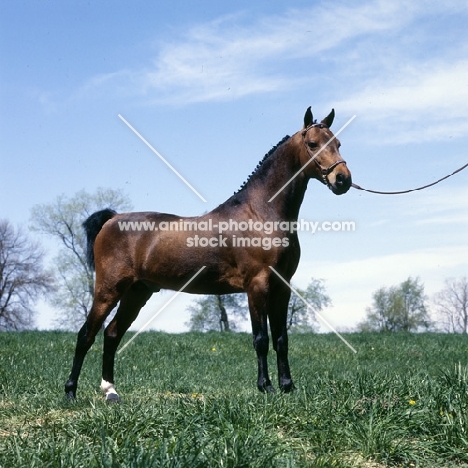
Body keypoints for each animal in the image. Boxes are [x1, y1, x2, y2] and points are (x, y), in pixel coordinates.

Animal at [65, 108, 352, 400]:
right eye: (313, 144)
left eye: (338, 144)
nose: (342, 179)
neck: (261, 213)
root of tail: (112, 218)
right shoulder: (257, 285)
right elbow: (261, 339)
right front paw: (266, 386)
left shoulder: (282, 287)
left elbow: (282, 339)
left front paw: (287, 386)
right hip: (108, 289)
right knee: (86, 335)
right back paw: (71, 392)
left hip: (137, 292)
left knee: (112, 334)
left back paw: (111, 391)